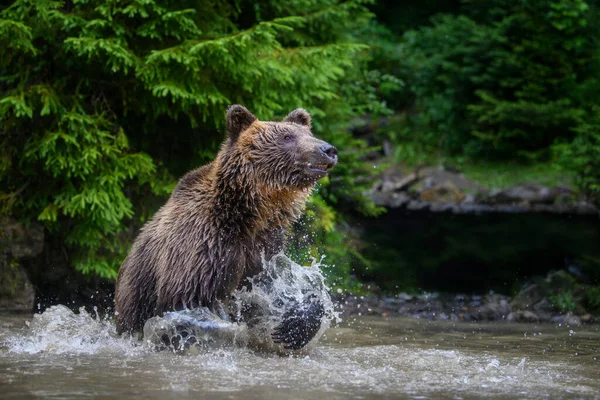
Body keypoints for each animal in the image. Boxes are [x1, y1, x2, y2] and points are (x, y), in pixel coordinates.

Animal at [113, 104, 338, 348]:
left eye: (309, 134)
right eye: (288, 137)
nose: (328, 149)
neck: (247, 214)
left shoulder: (265, 248)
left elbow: (273, 288)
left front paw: (294, 324)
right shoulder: (203, 245)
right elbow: (186, 299)